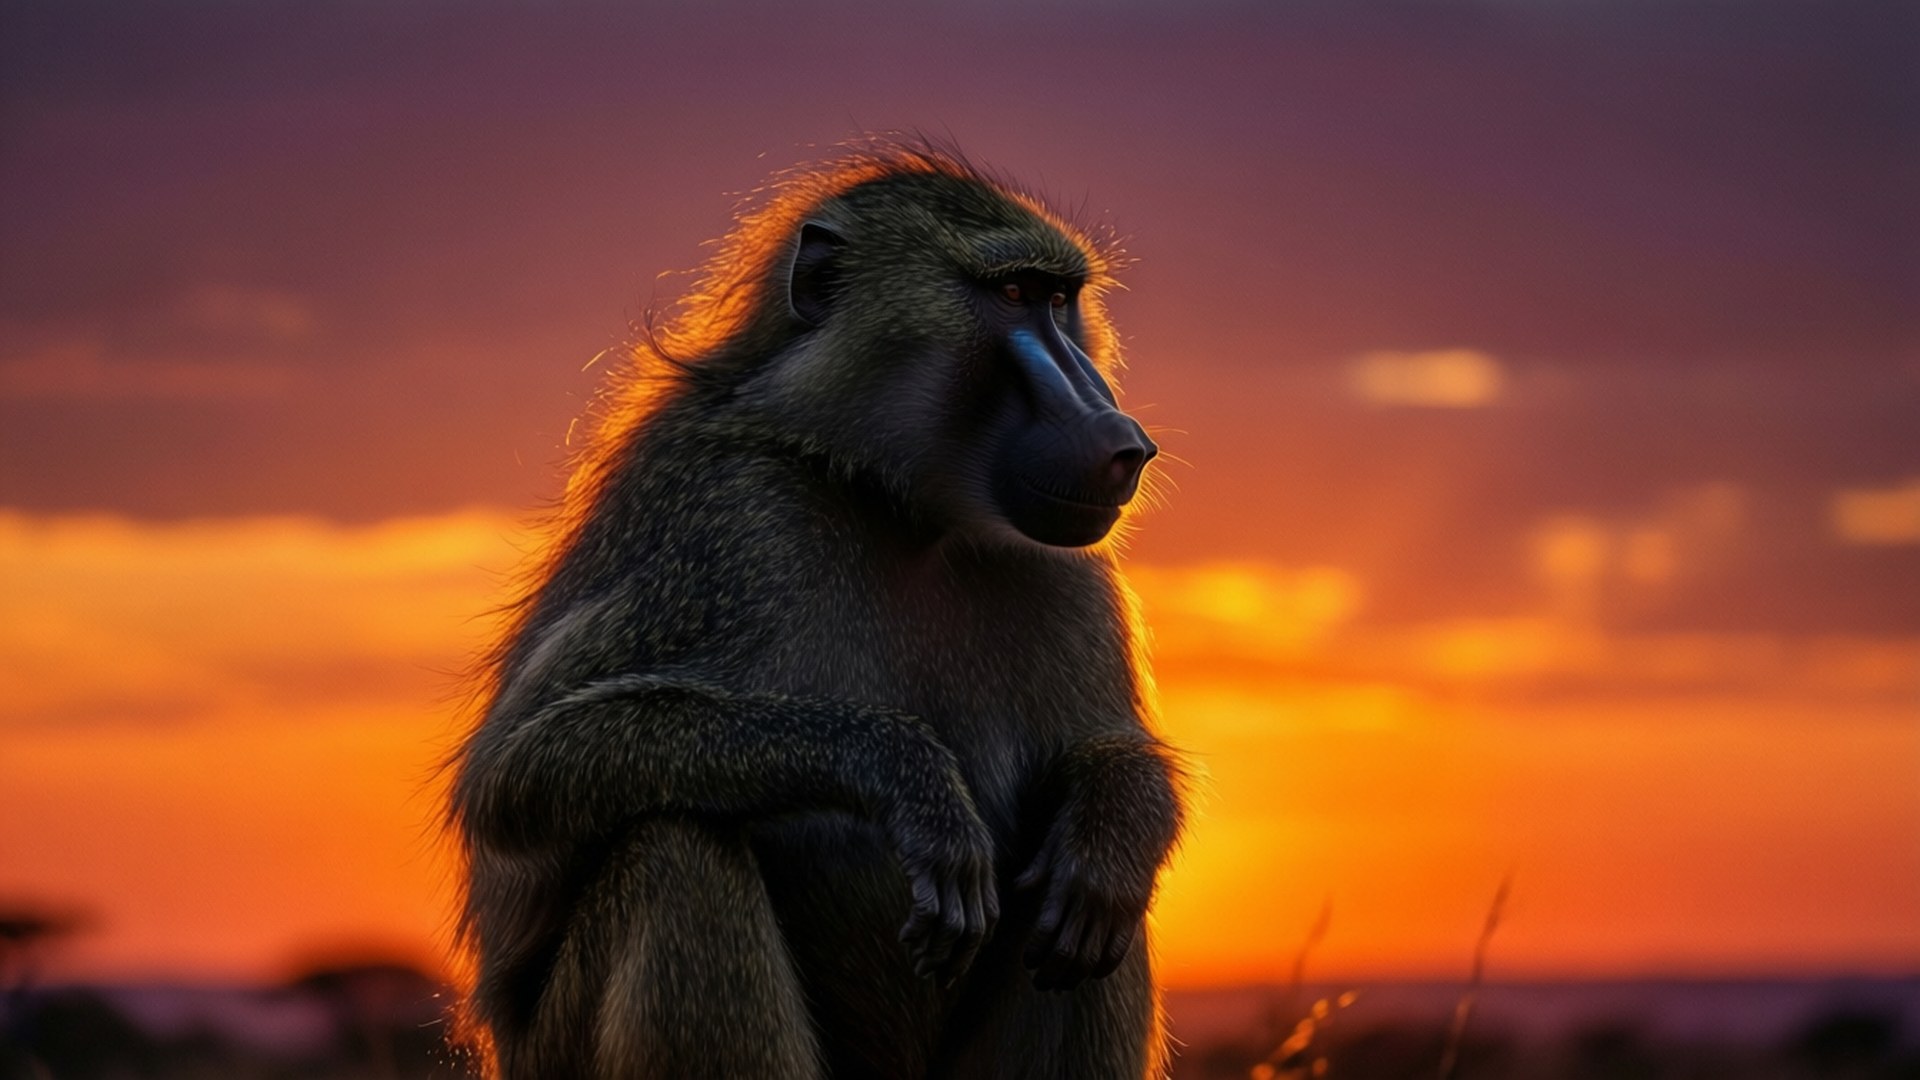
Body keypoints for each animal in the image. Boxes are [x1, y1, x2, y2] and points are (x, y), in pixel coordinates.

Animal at [448, 142, 1186, 1080]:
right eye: (1014, 294)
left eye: (1062, 300)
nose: (1124, 442)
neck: (893, 504)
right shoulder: (724, 518)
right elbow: (516, 768)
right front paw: (907, 774)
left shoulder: (1066, 570)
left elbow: (1105, 758)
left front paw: (1118, 816)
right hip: (555, 1052)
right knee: (675, 848)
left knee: (1093, 906)